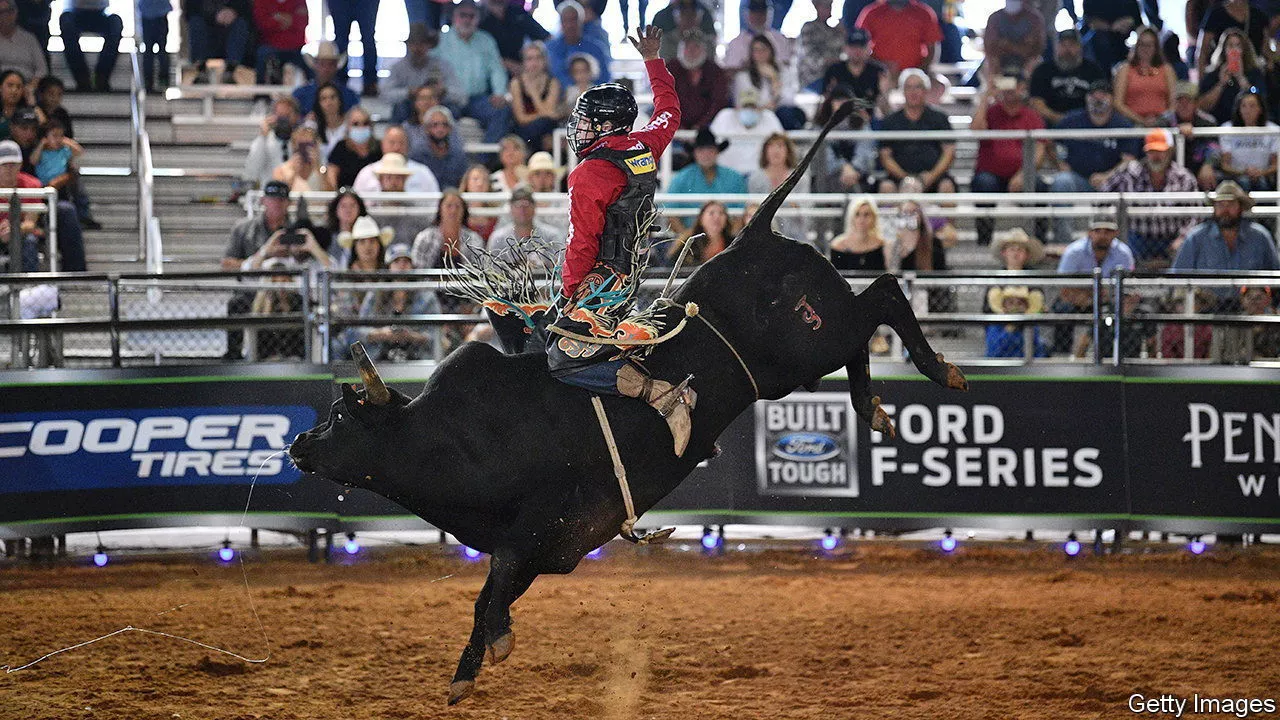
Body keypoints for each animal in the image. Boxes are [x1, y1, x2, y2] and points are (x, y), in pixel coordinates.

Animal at [290, 103, 967, 702]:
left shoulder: (540, 530)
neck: (453, 439)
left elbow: (491, 591)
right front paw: (474, 664)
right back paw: (874, 405)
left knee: (883, 295)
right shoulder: (539, 548)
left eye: (343, 415)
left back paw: (939, 370)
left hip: (806, 346)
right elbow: (491, 595)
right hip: (803, 357)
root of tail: (752, 235)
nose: (296, 442)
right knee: (867, 324)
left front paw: (479, 660)